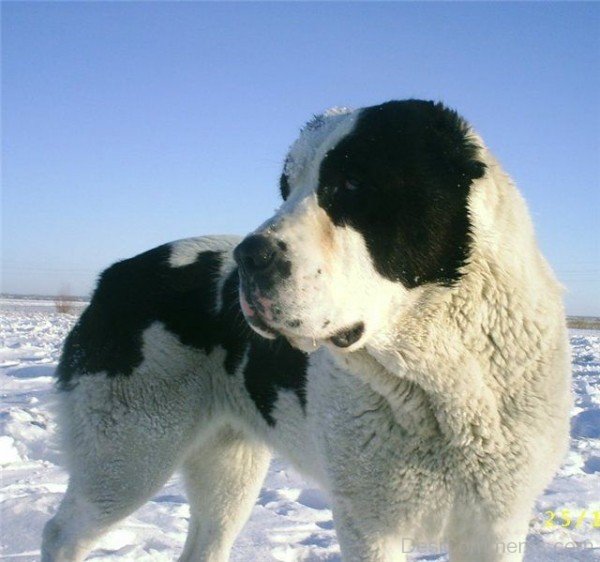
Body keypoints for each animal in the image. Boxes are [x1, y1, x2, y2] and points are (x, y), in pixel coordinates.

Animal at [39, 100, 568, 560]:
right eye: (286, 188)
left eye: (352, 182)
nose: (248, 258)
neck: (439, 384)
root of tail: (113, 275)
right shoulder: (368, 523)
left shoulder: (496, 523)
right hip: (127, 454)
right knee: (61, 532)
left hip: (226, 468)